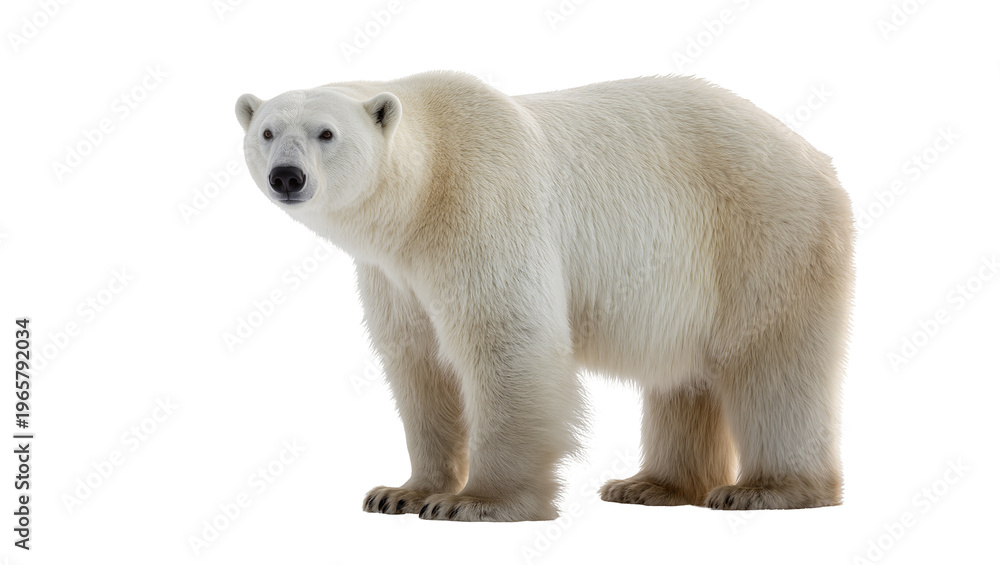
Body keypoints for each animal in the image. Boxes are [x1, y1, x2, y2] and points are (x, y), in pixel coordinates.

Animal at [235, 71, 854, 522]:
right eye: (266, 132)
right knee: (683, 377)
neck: (422, 194)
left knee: (772, 362)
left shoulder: (482, 204)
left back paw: (766, 490)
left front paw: (475, 502)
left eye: (326, 133)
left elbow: (506, 342)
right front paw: (400, 492)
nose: (287, 176)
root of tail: (815, 155)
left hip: (763, 233)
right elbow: (418, 364)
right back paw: (650, 485)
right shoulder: (394, 274)